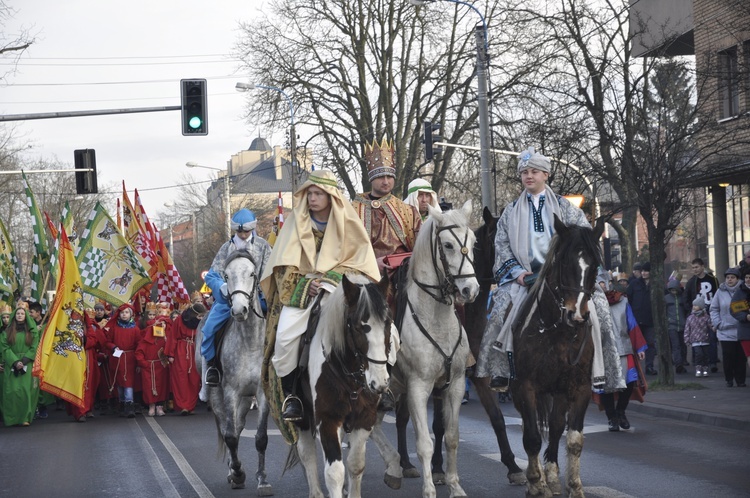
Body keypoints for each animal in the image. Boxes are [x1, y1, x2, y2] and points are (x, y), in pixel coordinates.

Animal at [372, 200, 482, 498]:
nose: (470, 290)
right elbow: (424, 443)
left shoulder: (455, 384)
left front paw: (455, 486)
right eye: (448, 245)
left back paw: (393, 468)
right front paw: (430, 489)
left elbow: (451, 437)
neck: (436, 319)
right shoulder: (418, 387)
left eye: (473, 242)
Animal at [516, 215, 608, 498]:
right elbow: (533, 436)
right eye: (564, 262)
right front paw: (536, 483)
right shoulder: (526, 385)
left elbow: (574, 439)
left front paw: (574, 486)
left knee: (556, 426)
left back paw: (553, 476)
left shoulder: (580, 387)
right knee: (530, 426)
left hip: (558, 391)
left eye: (594, 266)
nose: (576, 315)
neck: (558, 333)